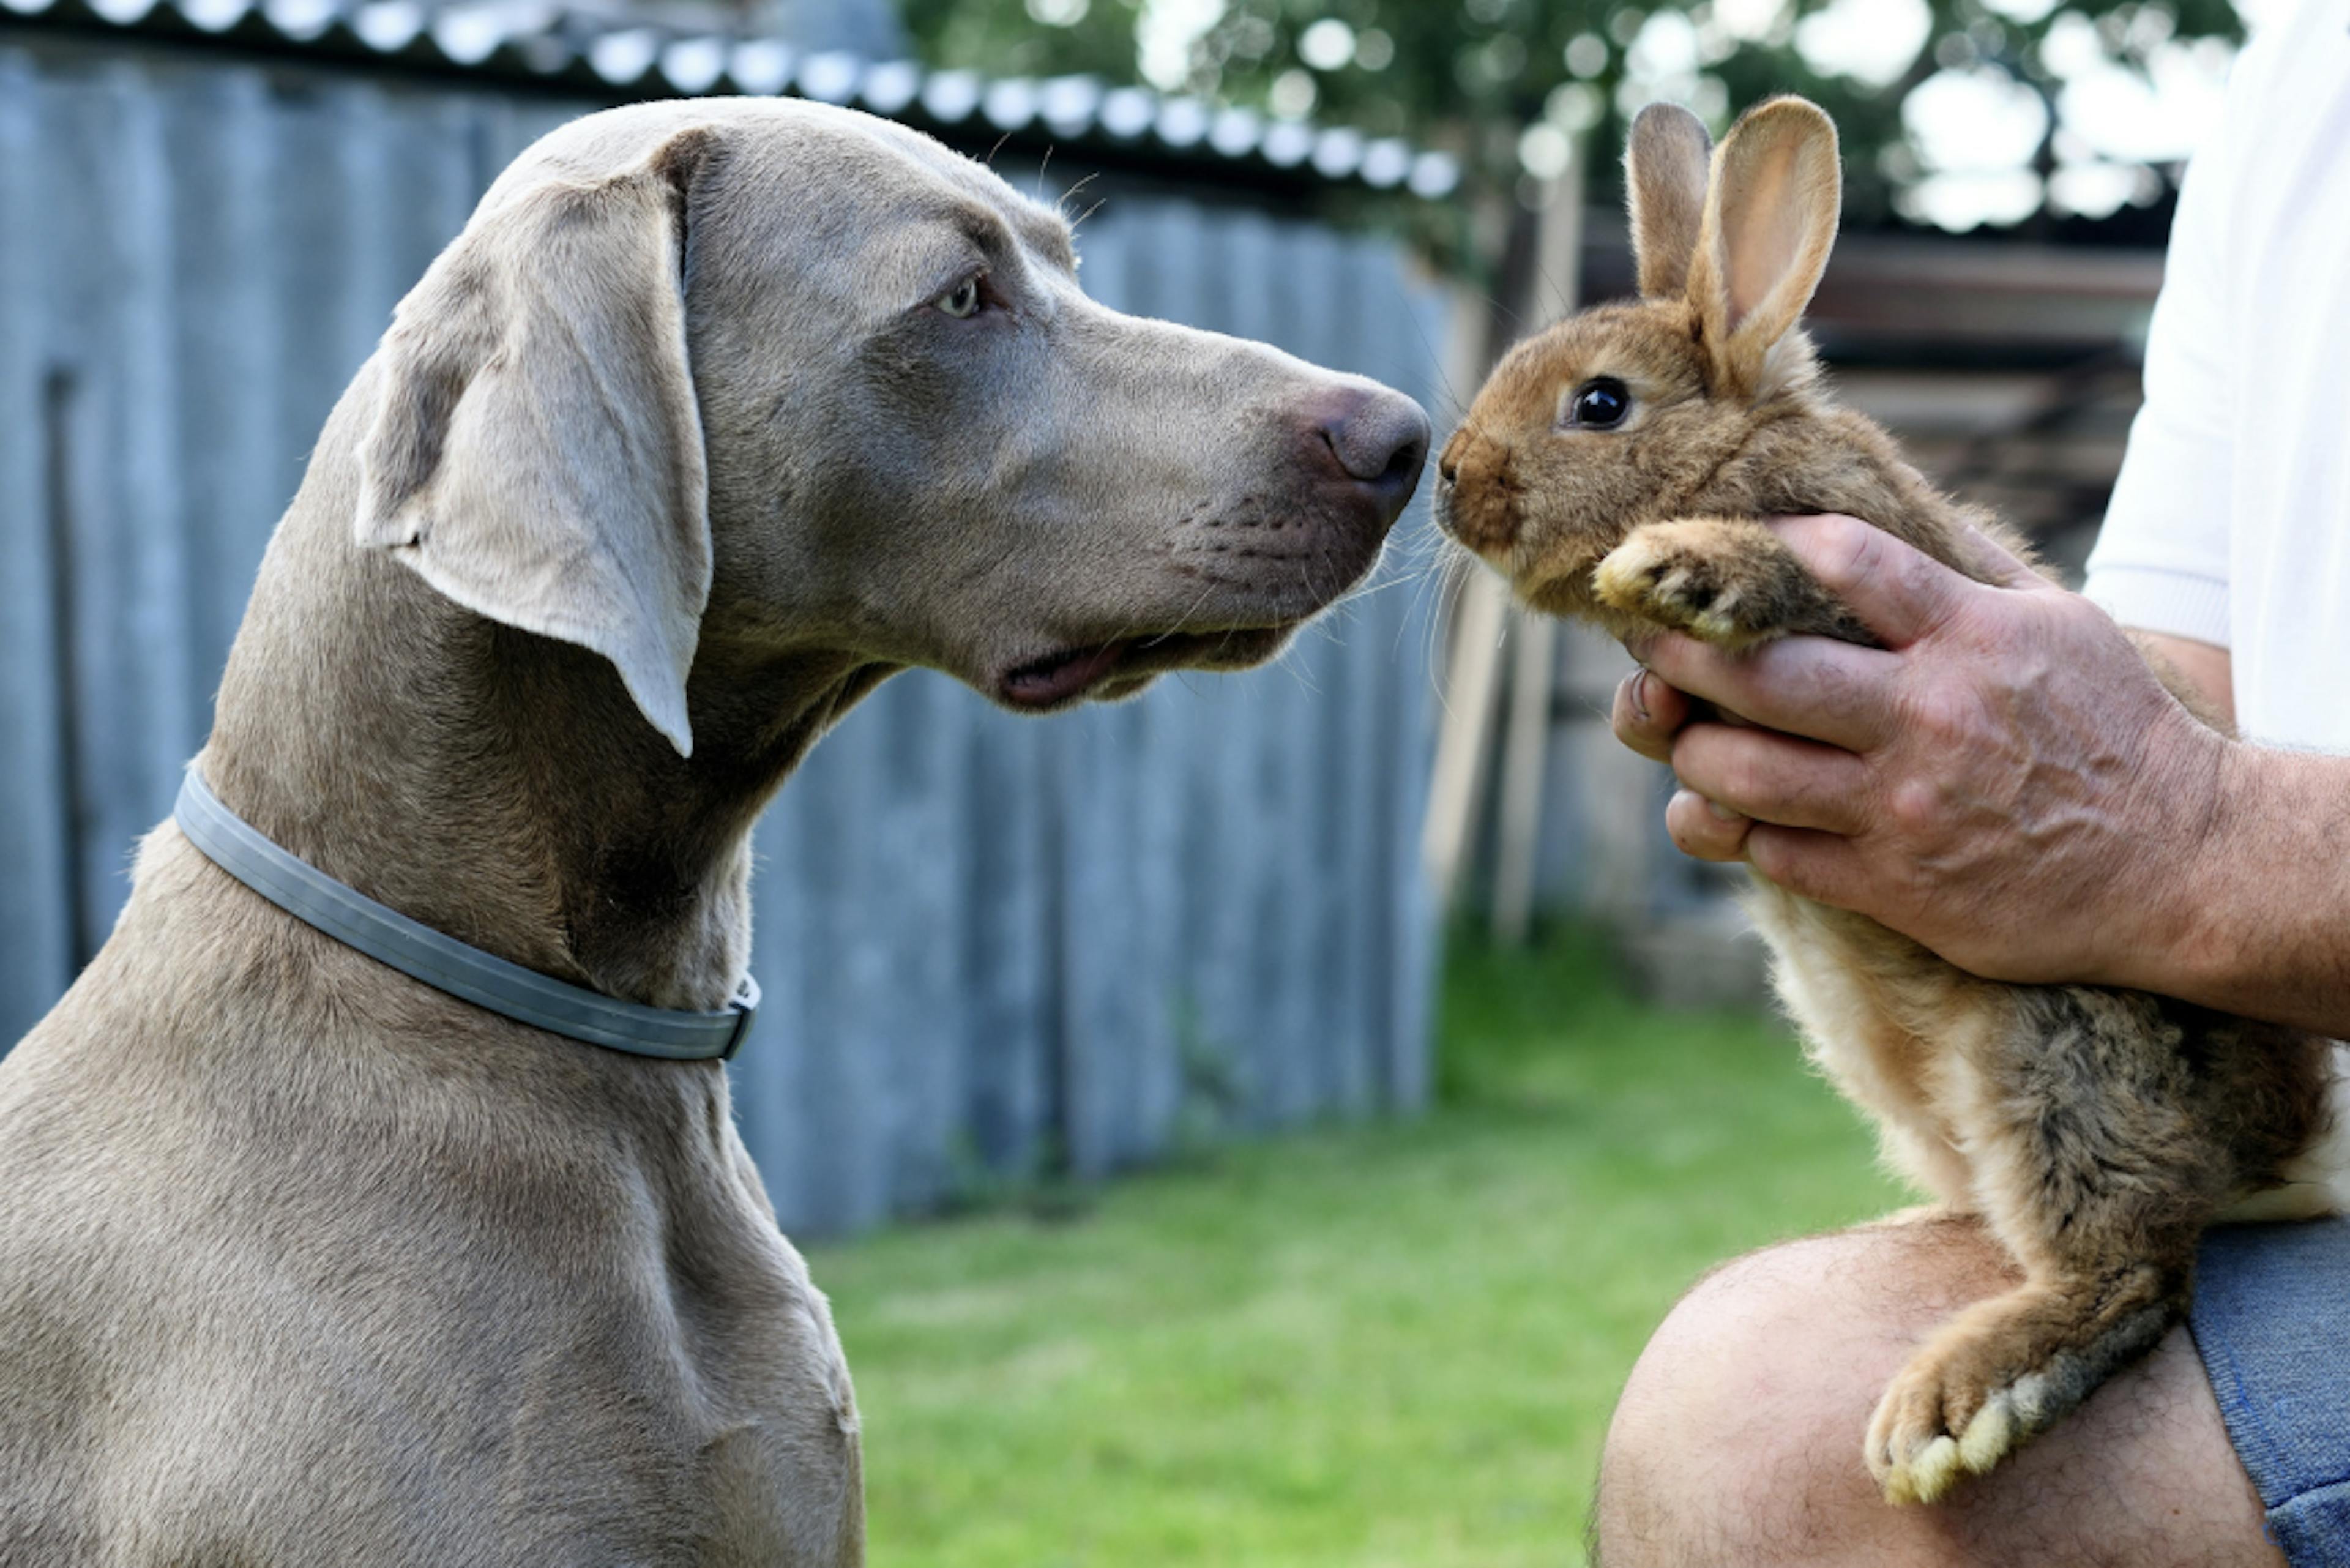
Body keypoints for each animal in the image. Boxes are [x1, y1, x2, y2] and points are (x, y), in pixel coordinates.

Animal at [1438, 95, 2340, 1504]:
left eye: (1599, 404)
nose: (1449, 476)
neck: (1739, 450)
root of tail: (2286, 1140)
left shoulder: (1866, 579)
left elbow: (1789, 580)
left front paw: (1680, 568)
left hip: (2059, 1042)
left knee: (2138, 1271)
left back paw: (1962, 1399)